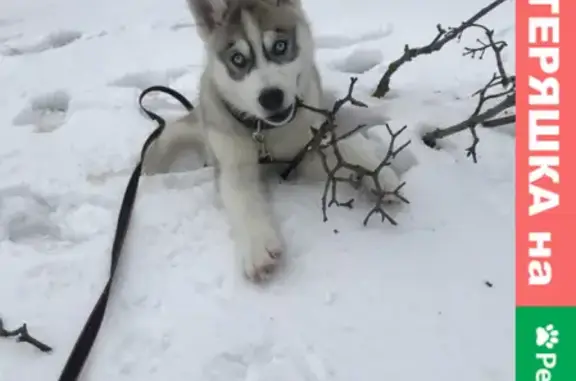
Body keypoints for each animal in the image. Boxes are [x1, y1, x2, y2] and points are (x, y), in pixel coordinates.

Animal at [145, 0, 400, 280]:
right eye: (238, 59)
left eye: (279, 46)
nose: (271, 97)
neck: (267, 133)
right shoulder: (233, 163)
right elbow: (243, 201)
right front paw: (258, 250)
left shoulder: (307, 147)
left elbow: (346, 146)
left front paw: (377, 173)